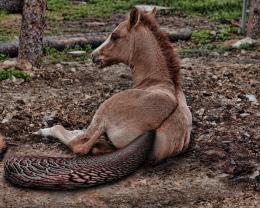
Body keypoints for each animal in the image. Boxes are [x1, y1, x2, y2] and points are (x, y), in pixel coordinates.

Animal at [3, 7, 191, 188]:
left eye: (115, 35)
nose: (93, 55)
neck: (157, 81)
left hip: (103, 112)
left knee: (78, 142)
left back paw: (46, 131)